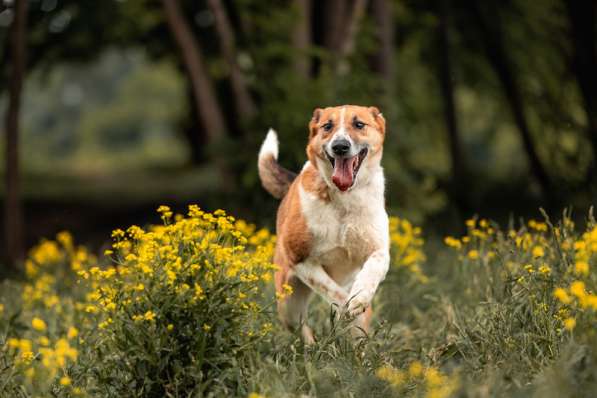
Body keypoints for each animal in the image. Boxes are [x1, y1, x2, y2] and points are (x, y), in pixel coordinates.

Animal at [258, 105, 388, 342]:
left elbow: (372, 269)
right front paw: (347, 307)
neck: (344, 197)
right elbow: (335, 293)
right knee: (301, 327)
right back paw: (313, 347)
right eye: (327, 126)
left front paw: (359, 298)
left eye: (359, 124)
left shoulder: (379, 250)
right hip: (288, 305)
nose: (340, 147)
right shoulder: (300, 259)